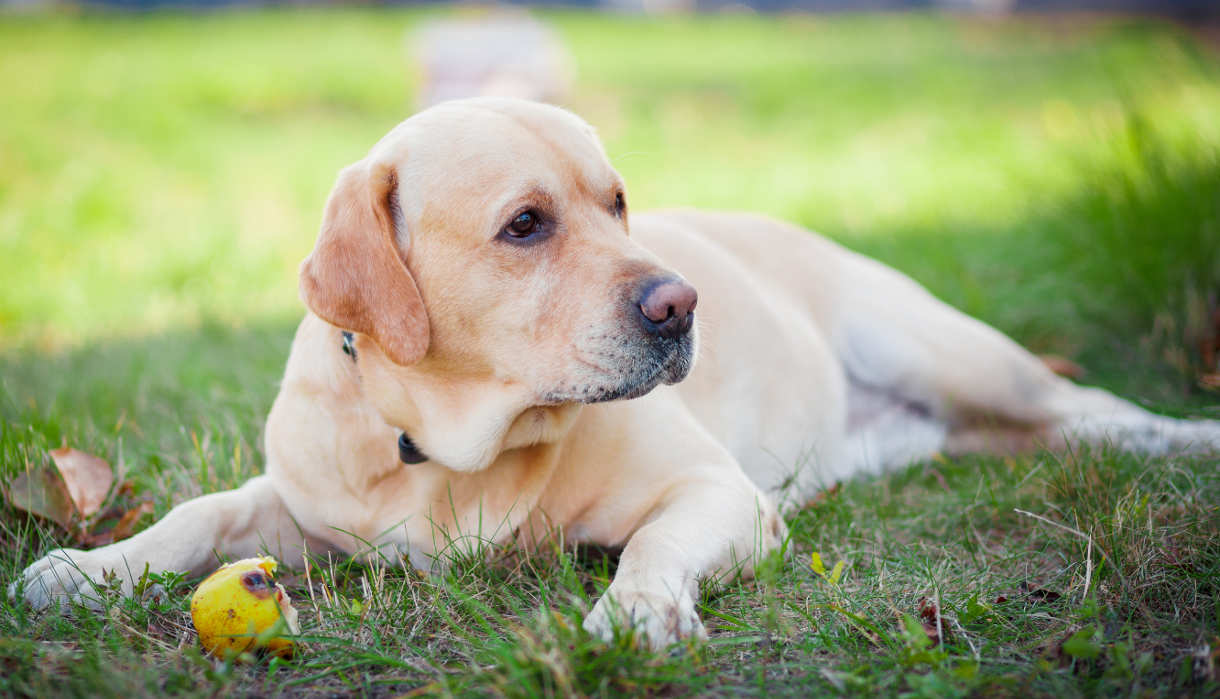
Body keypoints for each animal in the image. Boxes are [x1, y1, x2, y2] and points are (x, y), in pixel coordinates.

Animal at [16, 98, 1220, 648]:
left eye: (618, 202)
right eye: (525, 225)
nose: (684, 303)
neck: (450, 448)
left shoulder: (717, 494)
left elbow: (651, 545)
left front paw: (636, 612)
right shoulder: (297, 501)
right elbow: (199, 516)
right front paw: (83, 569)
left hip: (952, 351)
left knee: (1094, 413)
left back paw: (1186, 438)